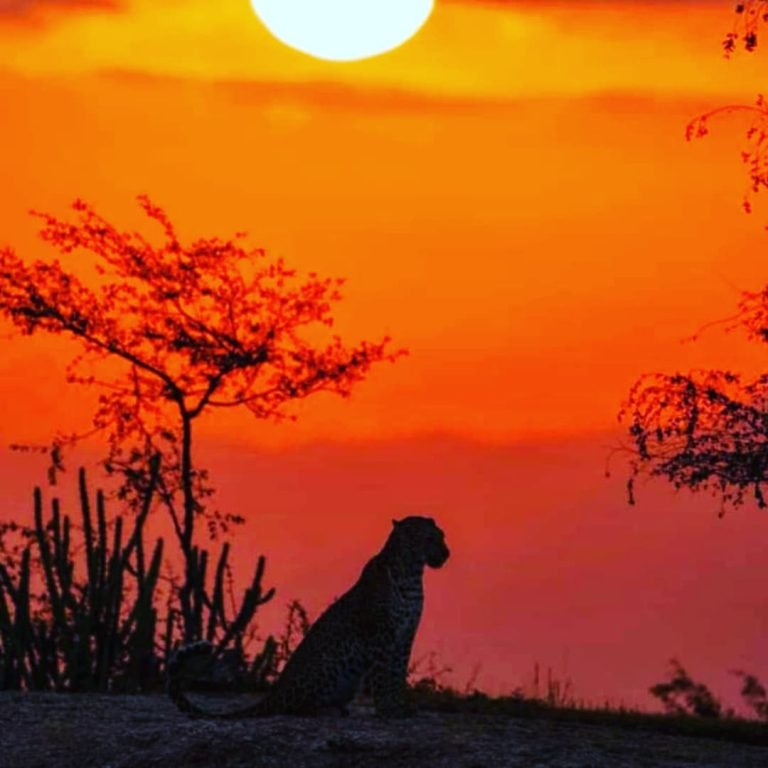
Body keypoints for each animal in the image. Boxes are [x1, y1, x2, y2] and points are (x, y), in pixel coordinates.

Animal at [167, 515, 449, 719]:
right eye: (430, 539)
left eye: (441, 537)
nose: (447, 553)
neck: (412, 575)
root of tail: (275, 693)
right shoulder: (381, 635)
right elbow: (382, 677)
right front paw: (387, 710)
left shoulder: (405, 636)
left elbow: (397, 674)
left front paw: (401, 706)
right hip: (331, 663)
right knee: (295, 708)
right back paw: (326, 710)